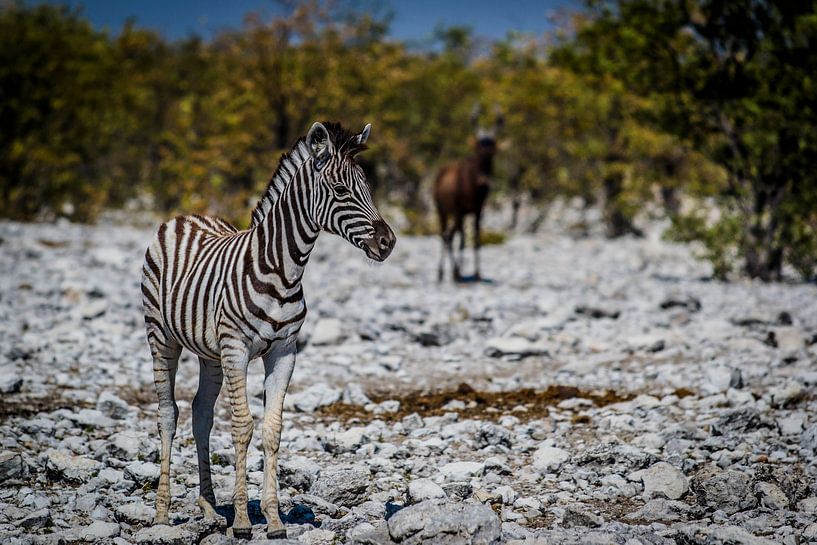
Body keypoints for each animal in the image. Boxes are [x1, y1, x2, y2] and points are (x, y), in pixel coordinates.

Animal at [140, 121, 396, 539]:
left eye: (368, 189)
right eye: (341, 190)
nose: (388, 243)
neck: (284, 269)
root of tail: (185, 216)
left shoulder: (284, 351)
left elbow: (272, 429)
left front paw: (273, 520)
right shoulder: (237, 348)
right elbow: (243, 426)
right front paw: (244, 521)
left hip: (210, 354)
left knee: (201, 414)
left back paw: (209, 509)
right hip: (161, 337)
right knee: (168, 414)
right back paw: (162, 514)